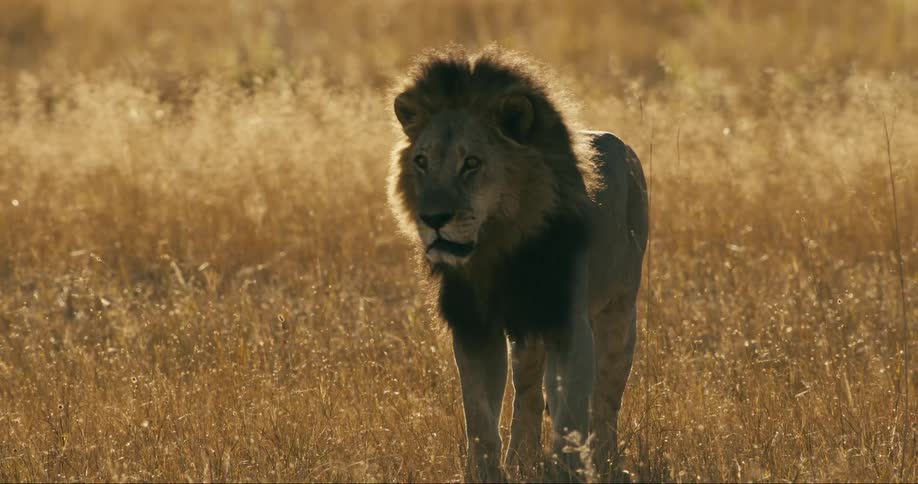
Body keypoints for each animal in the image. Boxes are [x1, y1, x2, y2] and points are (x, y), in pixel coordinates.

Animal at [387, 45, 648, 483]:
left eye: (472, 163)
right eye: (421, 161)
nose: (433, 218)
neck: (500, 248)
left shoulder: (566, 320)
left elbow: (570, 415)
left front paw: (569, 471)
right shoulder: (475, 326)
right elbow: (479, 417)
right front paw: (487, 473)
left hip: (619, 314)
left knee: (606, 401)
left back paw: (607, 460)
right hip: (525, 338)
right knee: (527, 396)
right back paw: (522, 458)